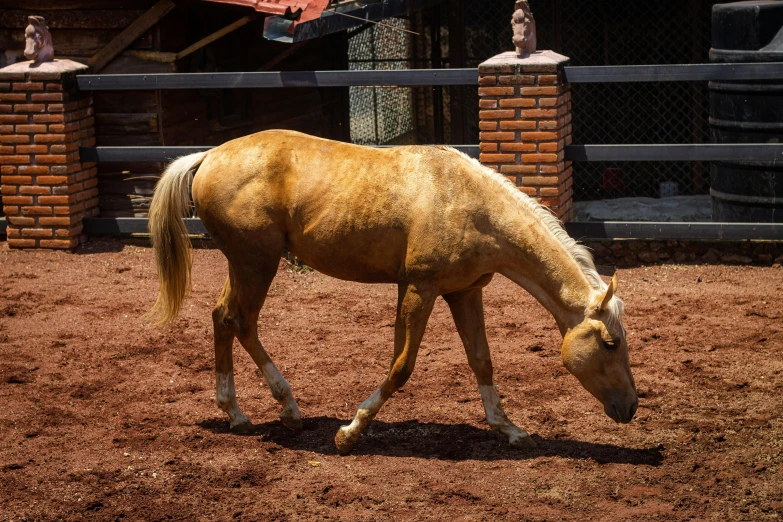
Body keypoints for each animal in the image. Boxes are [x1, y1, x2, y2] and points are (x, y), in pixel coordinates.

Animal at [149, 129, 636, 450]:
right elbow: (402, 366)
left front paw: (509, 428)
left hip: (247, 264)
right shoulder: (420, 288)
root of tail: (210, 155)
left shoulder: (463, 292)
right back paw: (277, 408)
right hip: (256, 263)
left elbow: (481, 361)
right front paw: (350, 432)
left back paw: (246, 413)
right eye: (610, 343)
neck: (469, 203)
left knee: (225, 318)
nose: (631, 407)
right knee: (239, 320)